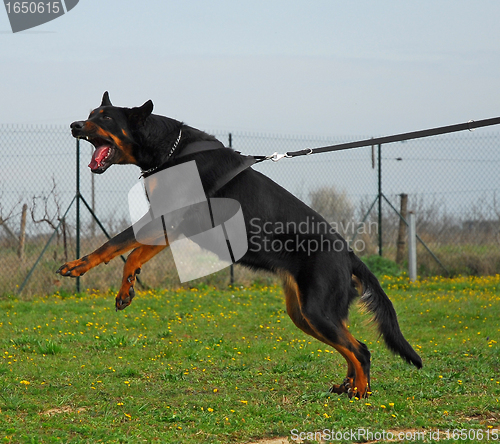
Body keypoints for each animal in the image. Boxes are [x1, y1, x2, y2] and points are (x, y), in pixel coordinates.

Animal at [58, 92, 422, 398]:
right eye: (90, 115)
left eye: (106, 118)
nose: (74, 126)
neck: (170, 151)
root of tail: (349, 255)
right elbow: (119, 247)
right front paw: (103, 277)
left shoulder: (170, 220)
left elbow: (126, 248)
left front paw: (109, 279)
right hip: (305, 313)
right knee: (352, 346)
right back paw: (347, 385)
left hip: (317, 311)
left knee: (361, 349)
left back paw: (361, 391)